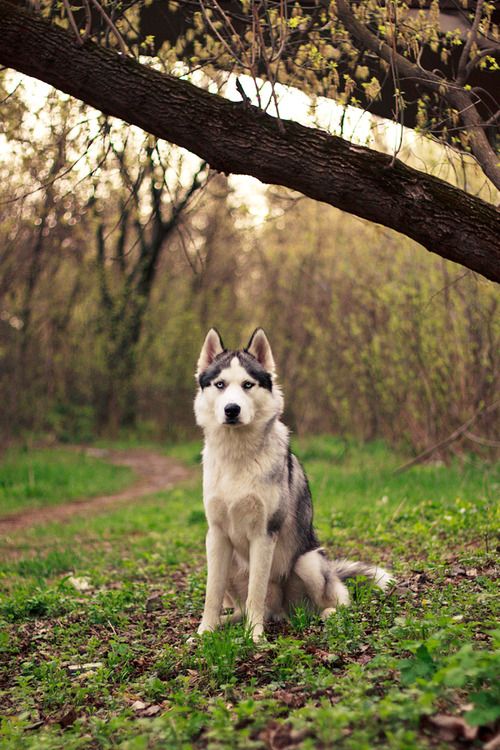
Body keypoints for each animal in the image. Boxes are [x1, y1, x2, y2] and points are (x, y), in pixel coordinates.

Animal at [193, 328, 392, 640]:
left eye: (247, 385)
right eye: (220, 385)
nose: (231, 409)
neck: (238, 456)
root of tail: (280, 612)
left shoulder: (264, 534)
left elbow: (256, 591)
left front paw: (254, 637)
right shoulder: (216, 535)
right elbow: (212, 595)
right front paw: (205, 632)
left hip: (308, 562)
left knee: (335, 602)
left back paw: (324, 614)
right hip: (230, 565)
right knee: (239, 606)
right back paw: (231, 622)